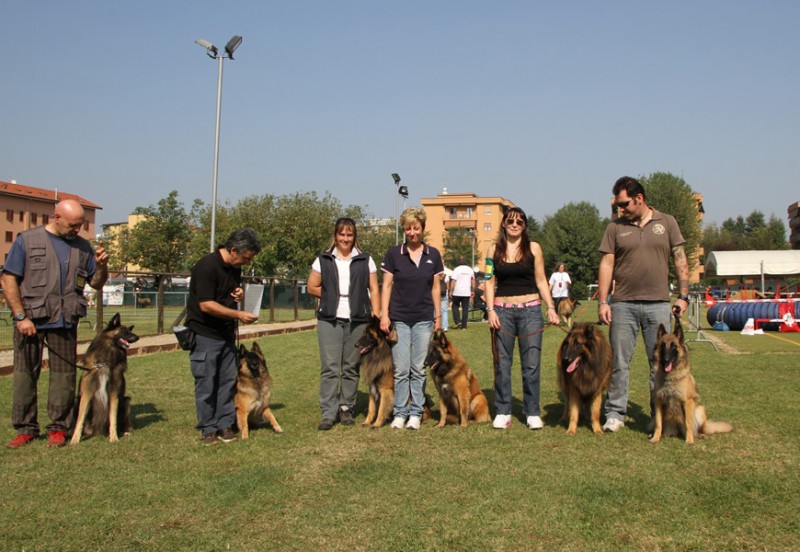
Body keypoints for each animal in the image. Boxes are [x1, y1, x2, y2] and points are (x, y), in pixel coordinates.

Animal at [70, 312, 139, 446]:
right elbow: (80, 419)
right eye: (124, 330)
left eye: (130, 330)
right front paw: (75, 439)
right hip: (77, 401)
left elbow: (113, 418)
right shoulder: (87, 394)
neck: (105, 361)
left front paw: (114, 437)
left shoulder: (114, 394)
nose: (137, 337)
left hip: (126, 401)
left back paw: (124, 432)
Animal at [652, 314, 736, 444]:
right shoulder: (659, 401)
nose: (666, 360)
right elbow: (658, 423)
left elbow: (688, 423)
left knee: (699, 428)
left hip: (699, 409)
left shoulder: (688, 402)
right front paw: (655, 437)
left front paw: (689, 440)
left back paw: (699, 435)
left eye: (674, 346)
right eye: (663, 346)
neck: (670, 378)